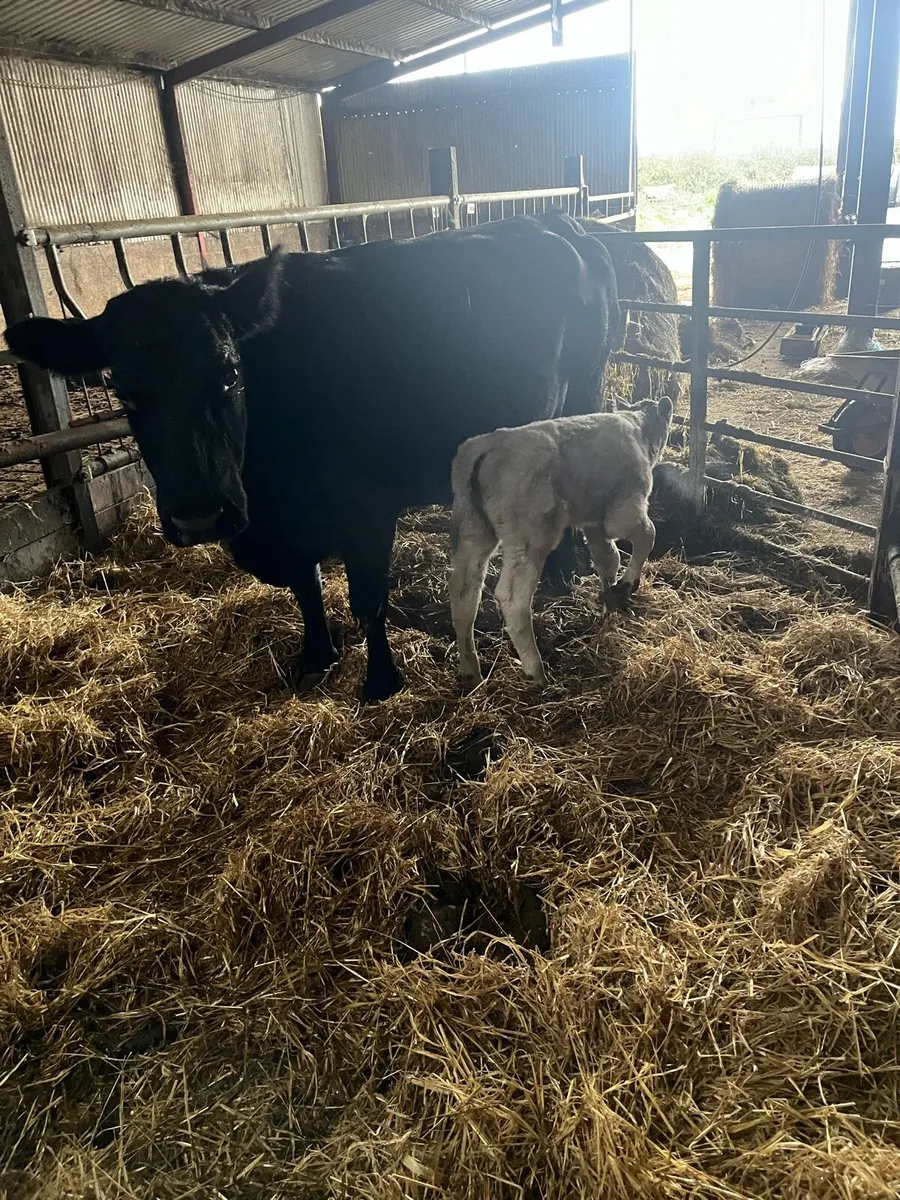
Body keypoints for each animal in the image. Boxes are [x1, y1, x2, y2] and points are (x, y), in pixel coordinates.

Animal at [6, 211, 619, 701]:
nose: (201, 516)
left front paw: (380, 683)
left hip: (582, 395)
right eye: (122, 391)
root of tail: (555, 222)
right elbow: (308, 588)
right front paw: (316, 658)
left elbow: (367, 600)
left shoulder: (369, 511)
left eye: (229, 373)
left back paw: (564, 573)